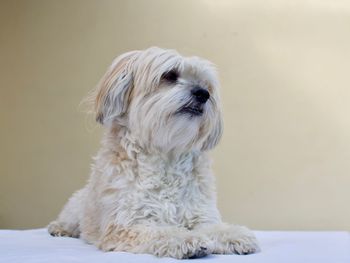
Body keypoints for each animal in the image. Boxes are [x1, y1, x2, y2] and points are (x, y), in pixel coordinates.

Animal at [47, 47, 260, 260]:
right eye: (170, 75)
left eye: (206, 84)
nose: (203, 94)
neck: (167, 155)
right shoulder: (125, 225)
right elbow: (162, 232)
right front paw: (186, 239)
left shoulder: (200, 213)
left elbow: (212, 227)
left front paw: (233, 234)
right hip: (76, 207)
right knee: (70, 220)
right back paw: (60, 228)